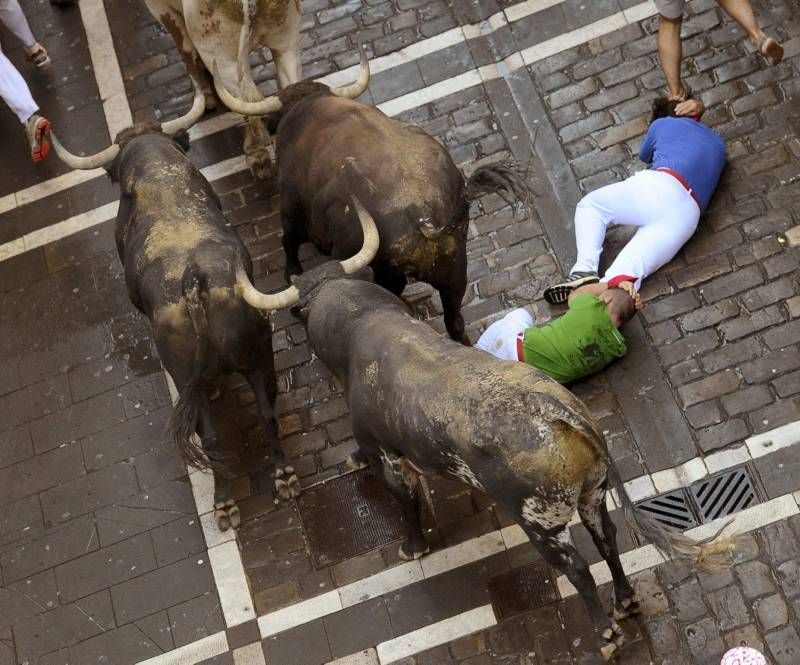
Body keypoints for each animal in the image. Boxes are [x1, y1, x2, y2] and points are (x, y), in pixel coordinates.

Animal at [49, 84, 372, 528]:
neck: (157, 174)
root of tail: (194, 281)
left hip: (191, 375)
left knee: (211, 434)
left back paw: (224, 501)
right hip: (258, 354)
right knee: (267, 413)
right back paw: (284, 477)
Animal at [212, 49, 532, 344]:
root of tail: (422, 215)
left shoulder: (291, 209)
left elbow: (288, 241)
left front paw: (292, 271)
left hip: (391, 273)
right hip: (456, 271)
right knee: (455, 321)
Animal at [239, 204, 736, 660]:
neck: (361, 324)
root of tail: (561, 411)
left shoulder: (389, 456)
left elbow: (404, 502)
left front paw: (412, 547)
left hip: (540, 520)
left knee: (576, 567)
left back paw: (605, 634)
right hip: (593, 493)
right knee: (606, 537)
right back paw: (627, 600)